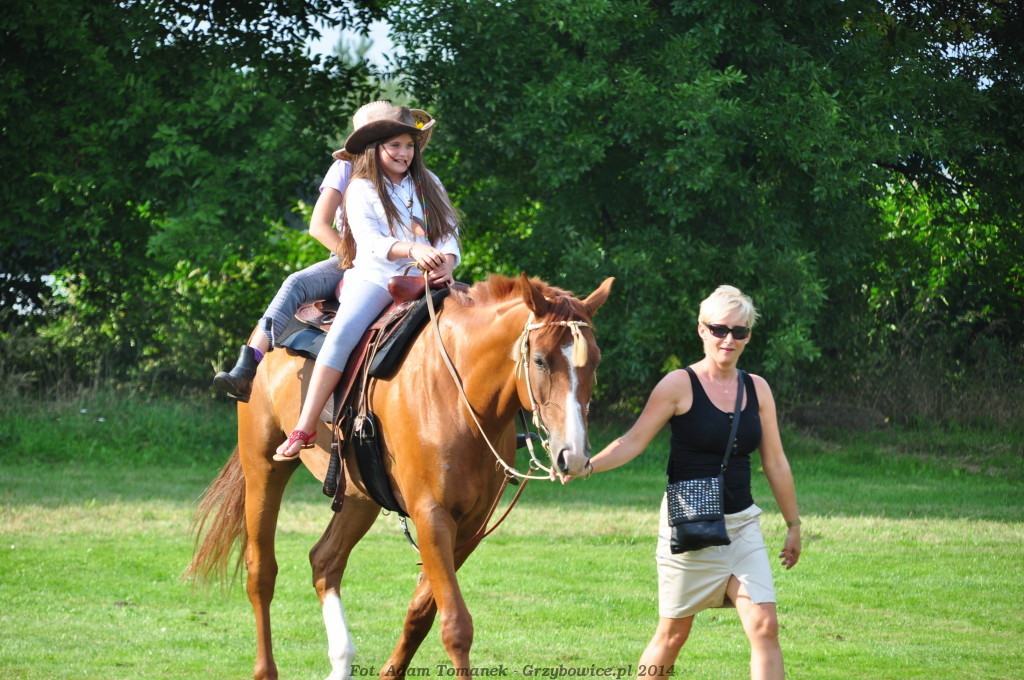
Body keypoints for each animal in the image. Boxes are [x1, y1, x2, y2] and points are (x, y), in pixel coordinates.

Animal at [186, 273, 614, 680]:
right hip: (263, 467)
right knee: (261, 572)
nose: (574, 454)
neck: (459, 397)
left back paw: (341, 662)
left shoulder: (471, 525)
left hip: (357, 497)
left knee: (325, 561)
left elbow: (422, 613)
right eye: (539, 360)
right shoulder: (432, 515)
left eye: (594, 362)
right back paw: (266, 669)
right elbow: (456, 625)